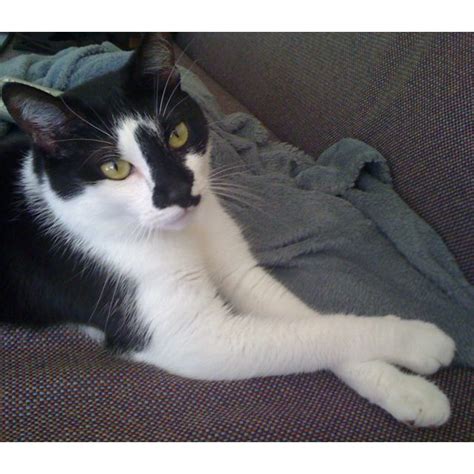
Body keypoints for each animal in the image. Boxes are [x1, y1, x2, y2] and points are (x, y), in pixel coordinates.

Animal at [0, 32, 456, 426]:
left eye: (178, 134)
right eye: (115, 168)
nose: (179, 194)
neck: (185, 234)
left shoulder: (239, 270)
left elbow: (309, 318)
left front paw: (405, 390)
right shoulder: (192, 337)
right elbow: (313, 335)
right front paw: (420, 341)